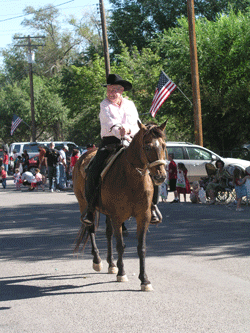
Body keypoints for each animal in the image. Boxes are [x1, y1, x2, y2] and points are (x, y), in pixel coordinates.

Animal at [73, 120, 167, 290]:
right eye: (147, 146)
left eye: (163, 145)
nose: (160, 176)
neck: (131, 179)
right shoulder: (117, 216)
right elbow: (120, 245)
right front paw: (122, 273)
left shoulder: (143, 217)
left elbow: (141, 247)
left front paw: (145, 280)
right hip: (84, 204)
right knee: (91, 228)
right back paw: (97, 261)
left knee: (108, 233)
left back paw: (111, 264)